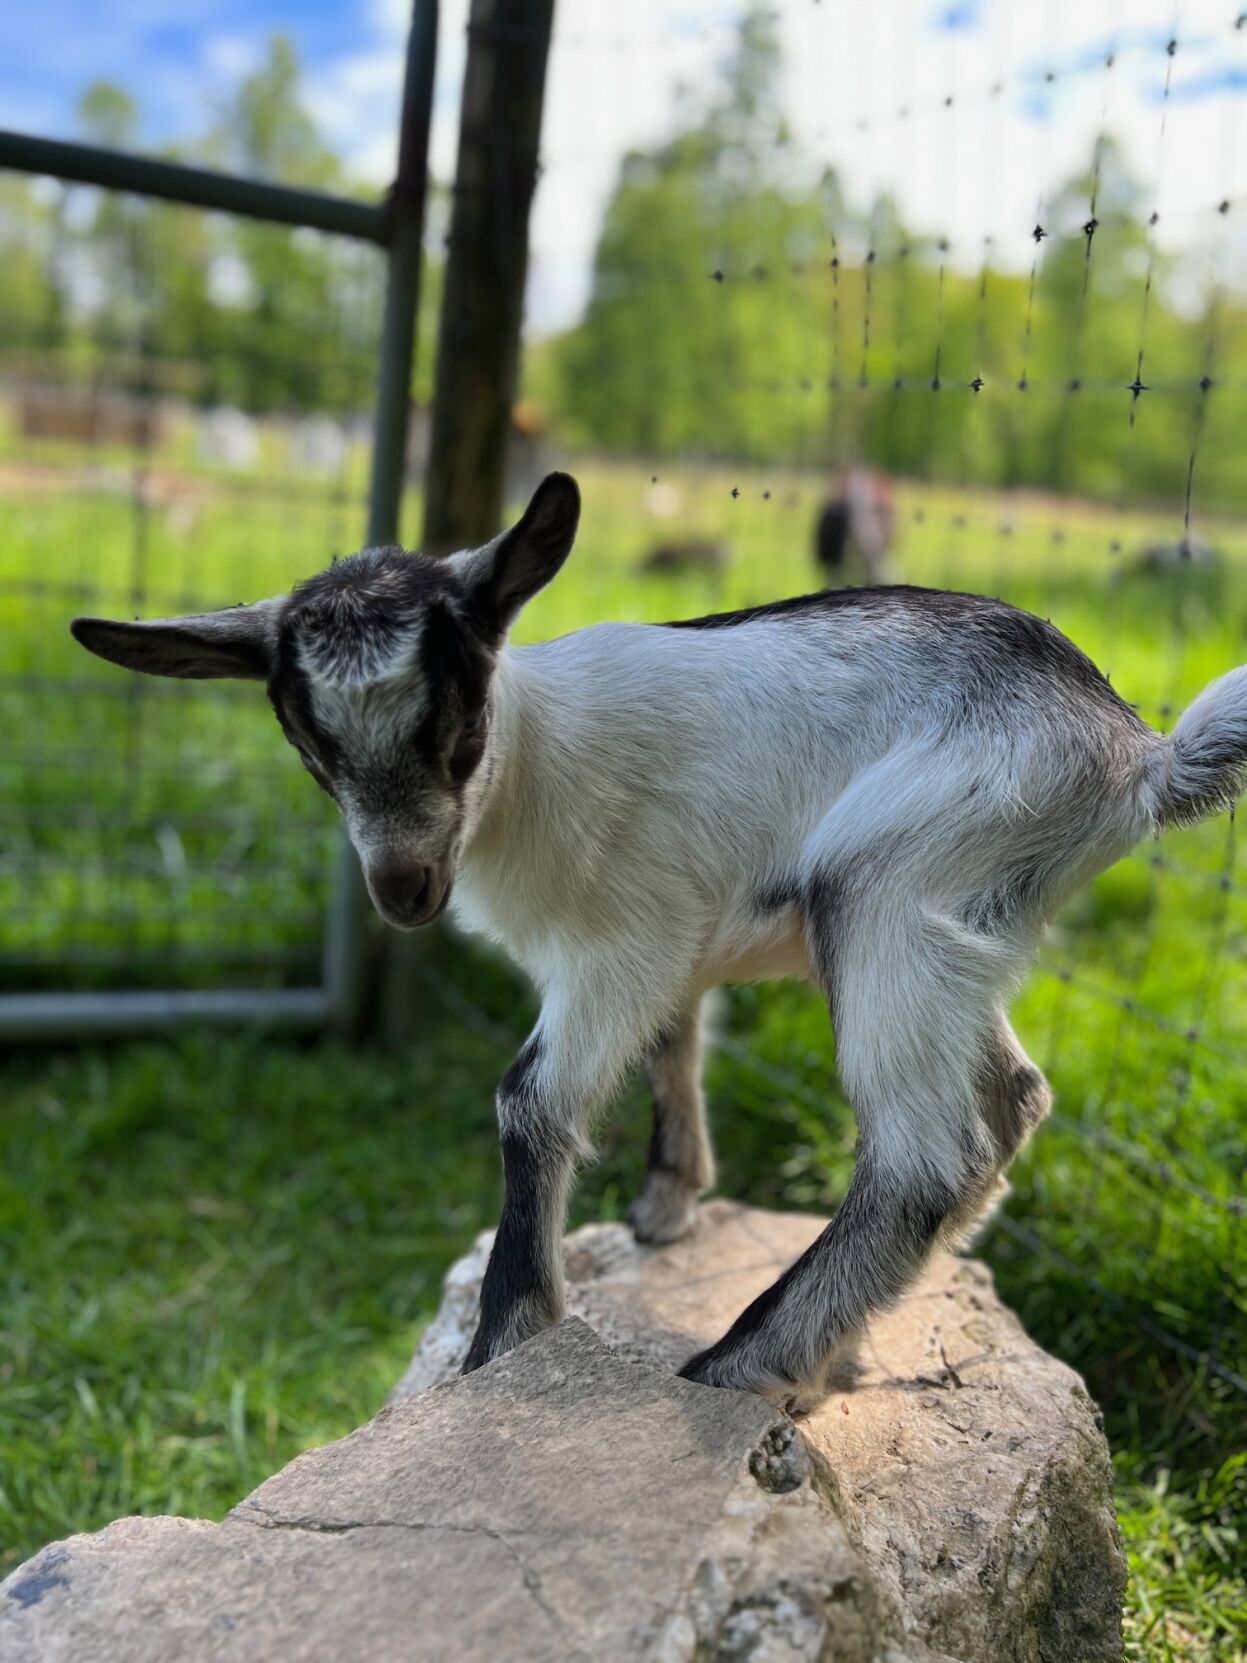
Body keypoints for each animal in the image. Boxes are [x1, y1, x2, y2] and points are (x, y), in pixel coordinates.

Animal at [70, 472, 1247, 1410]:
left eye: (457, 727)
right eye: (310, 748)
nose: (403, 891)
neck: (536, 766)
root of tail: (1134, 752)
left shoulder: (616, 952)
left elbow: (529, 1101)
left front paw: (505, 1340)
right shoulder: (673, 940)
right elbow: (673, 1049)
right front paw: (667, 1205)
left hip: (890, 885)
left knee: (926, 1152)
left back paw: (744, 1359)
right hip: (968, 927)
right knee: (1013, 1099)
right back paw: (857, 1329)